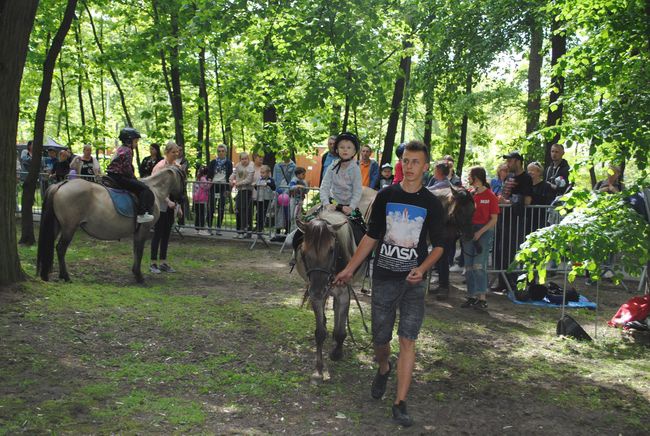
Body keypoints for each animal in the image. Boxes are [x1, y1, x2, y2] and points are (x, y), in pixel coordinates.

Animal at [36, 166, 184, 282]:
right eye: (183, 177)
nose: (181, 199)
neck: (154, 190)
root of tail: (62, 184)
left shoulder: (137, 232)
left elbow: (135, 250)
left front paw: (135, 273)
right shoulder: (144, 230)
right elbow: (140, 251)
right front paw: (139, 276)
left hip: (57, 225)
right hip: (69, 228)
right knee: (61, 249)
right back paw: (65, 276)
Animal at [294, 187, 374, 382]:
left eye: (331, 250)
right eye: (304, 251)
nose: (318, 290)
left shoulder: (344, 293)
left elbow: (339, 330)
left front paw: (337, 352)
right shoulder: (315, 293)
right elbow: (320, 332)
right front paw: (318, 369)